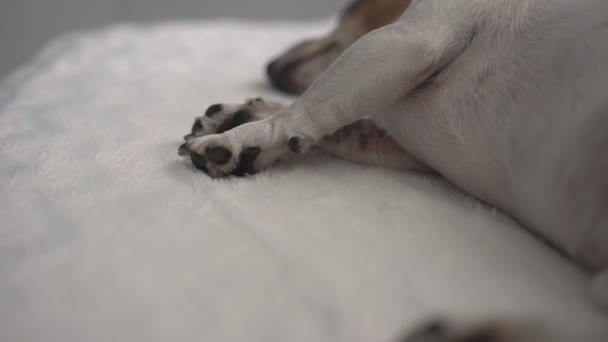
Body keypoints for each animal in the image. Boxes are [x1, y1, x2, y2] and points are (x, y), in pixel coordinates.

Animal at [180, 0, 608, 340]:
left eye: (349, 8)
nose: (269, 67)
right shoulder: (400, 146)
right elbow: (335, 124)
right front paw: (247, 116)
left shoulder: (407, 39)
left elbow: (309, 105)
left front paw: (244, 136)